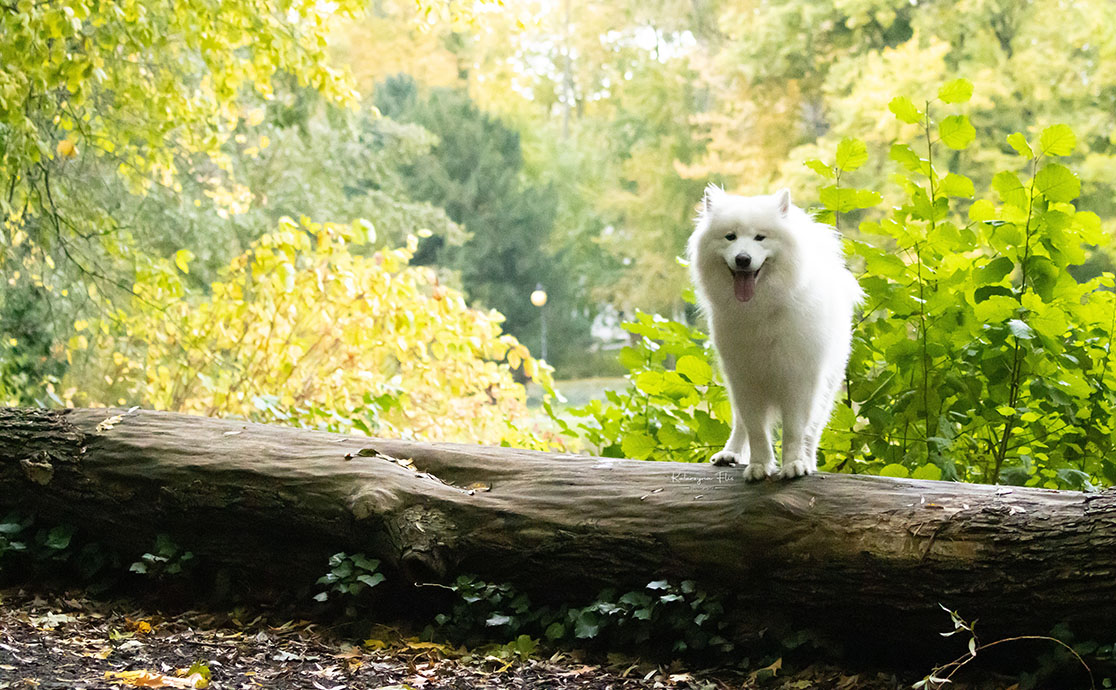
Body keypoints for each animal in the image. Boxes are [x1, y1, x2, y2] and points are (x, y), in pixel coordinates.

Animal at [687, 186, 861, 477]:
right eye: (730, 237)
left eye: (760, 237)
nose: (743, 259)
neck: (762, 309)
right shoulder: (745, 380)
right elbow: (756, 430)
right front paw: (759, 465)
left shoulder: (798, 380)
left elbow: (794, 431)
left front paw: (794, 464)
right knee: (740, 425)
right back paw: (730, 453)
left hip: (826, 389)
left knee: (812, 432)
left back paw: (808, 460)